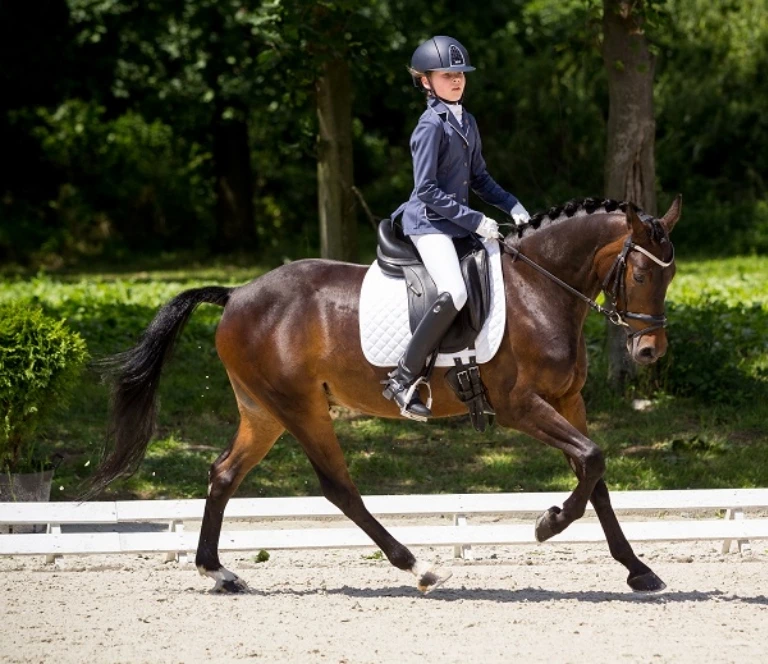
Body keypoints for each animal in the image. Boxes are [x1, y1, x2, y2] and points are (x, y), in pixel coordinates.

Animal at [87, 195, 680, 592]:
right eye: (642, 274)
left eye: (669, 277)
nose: (650, 351)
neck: (540, 289)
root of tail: (237, 294)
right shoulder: (520, 407)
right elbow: (592, 460)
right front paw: (547, 523)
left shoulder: (567, 402)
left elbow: (596, 476)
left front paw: (638, 570)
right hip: (301, 407)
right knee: (338, 487)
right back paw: (419, 567)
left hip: (264, 412)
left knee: (224, 474)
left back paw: (218, 571)